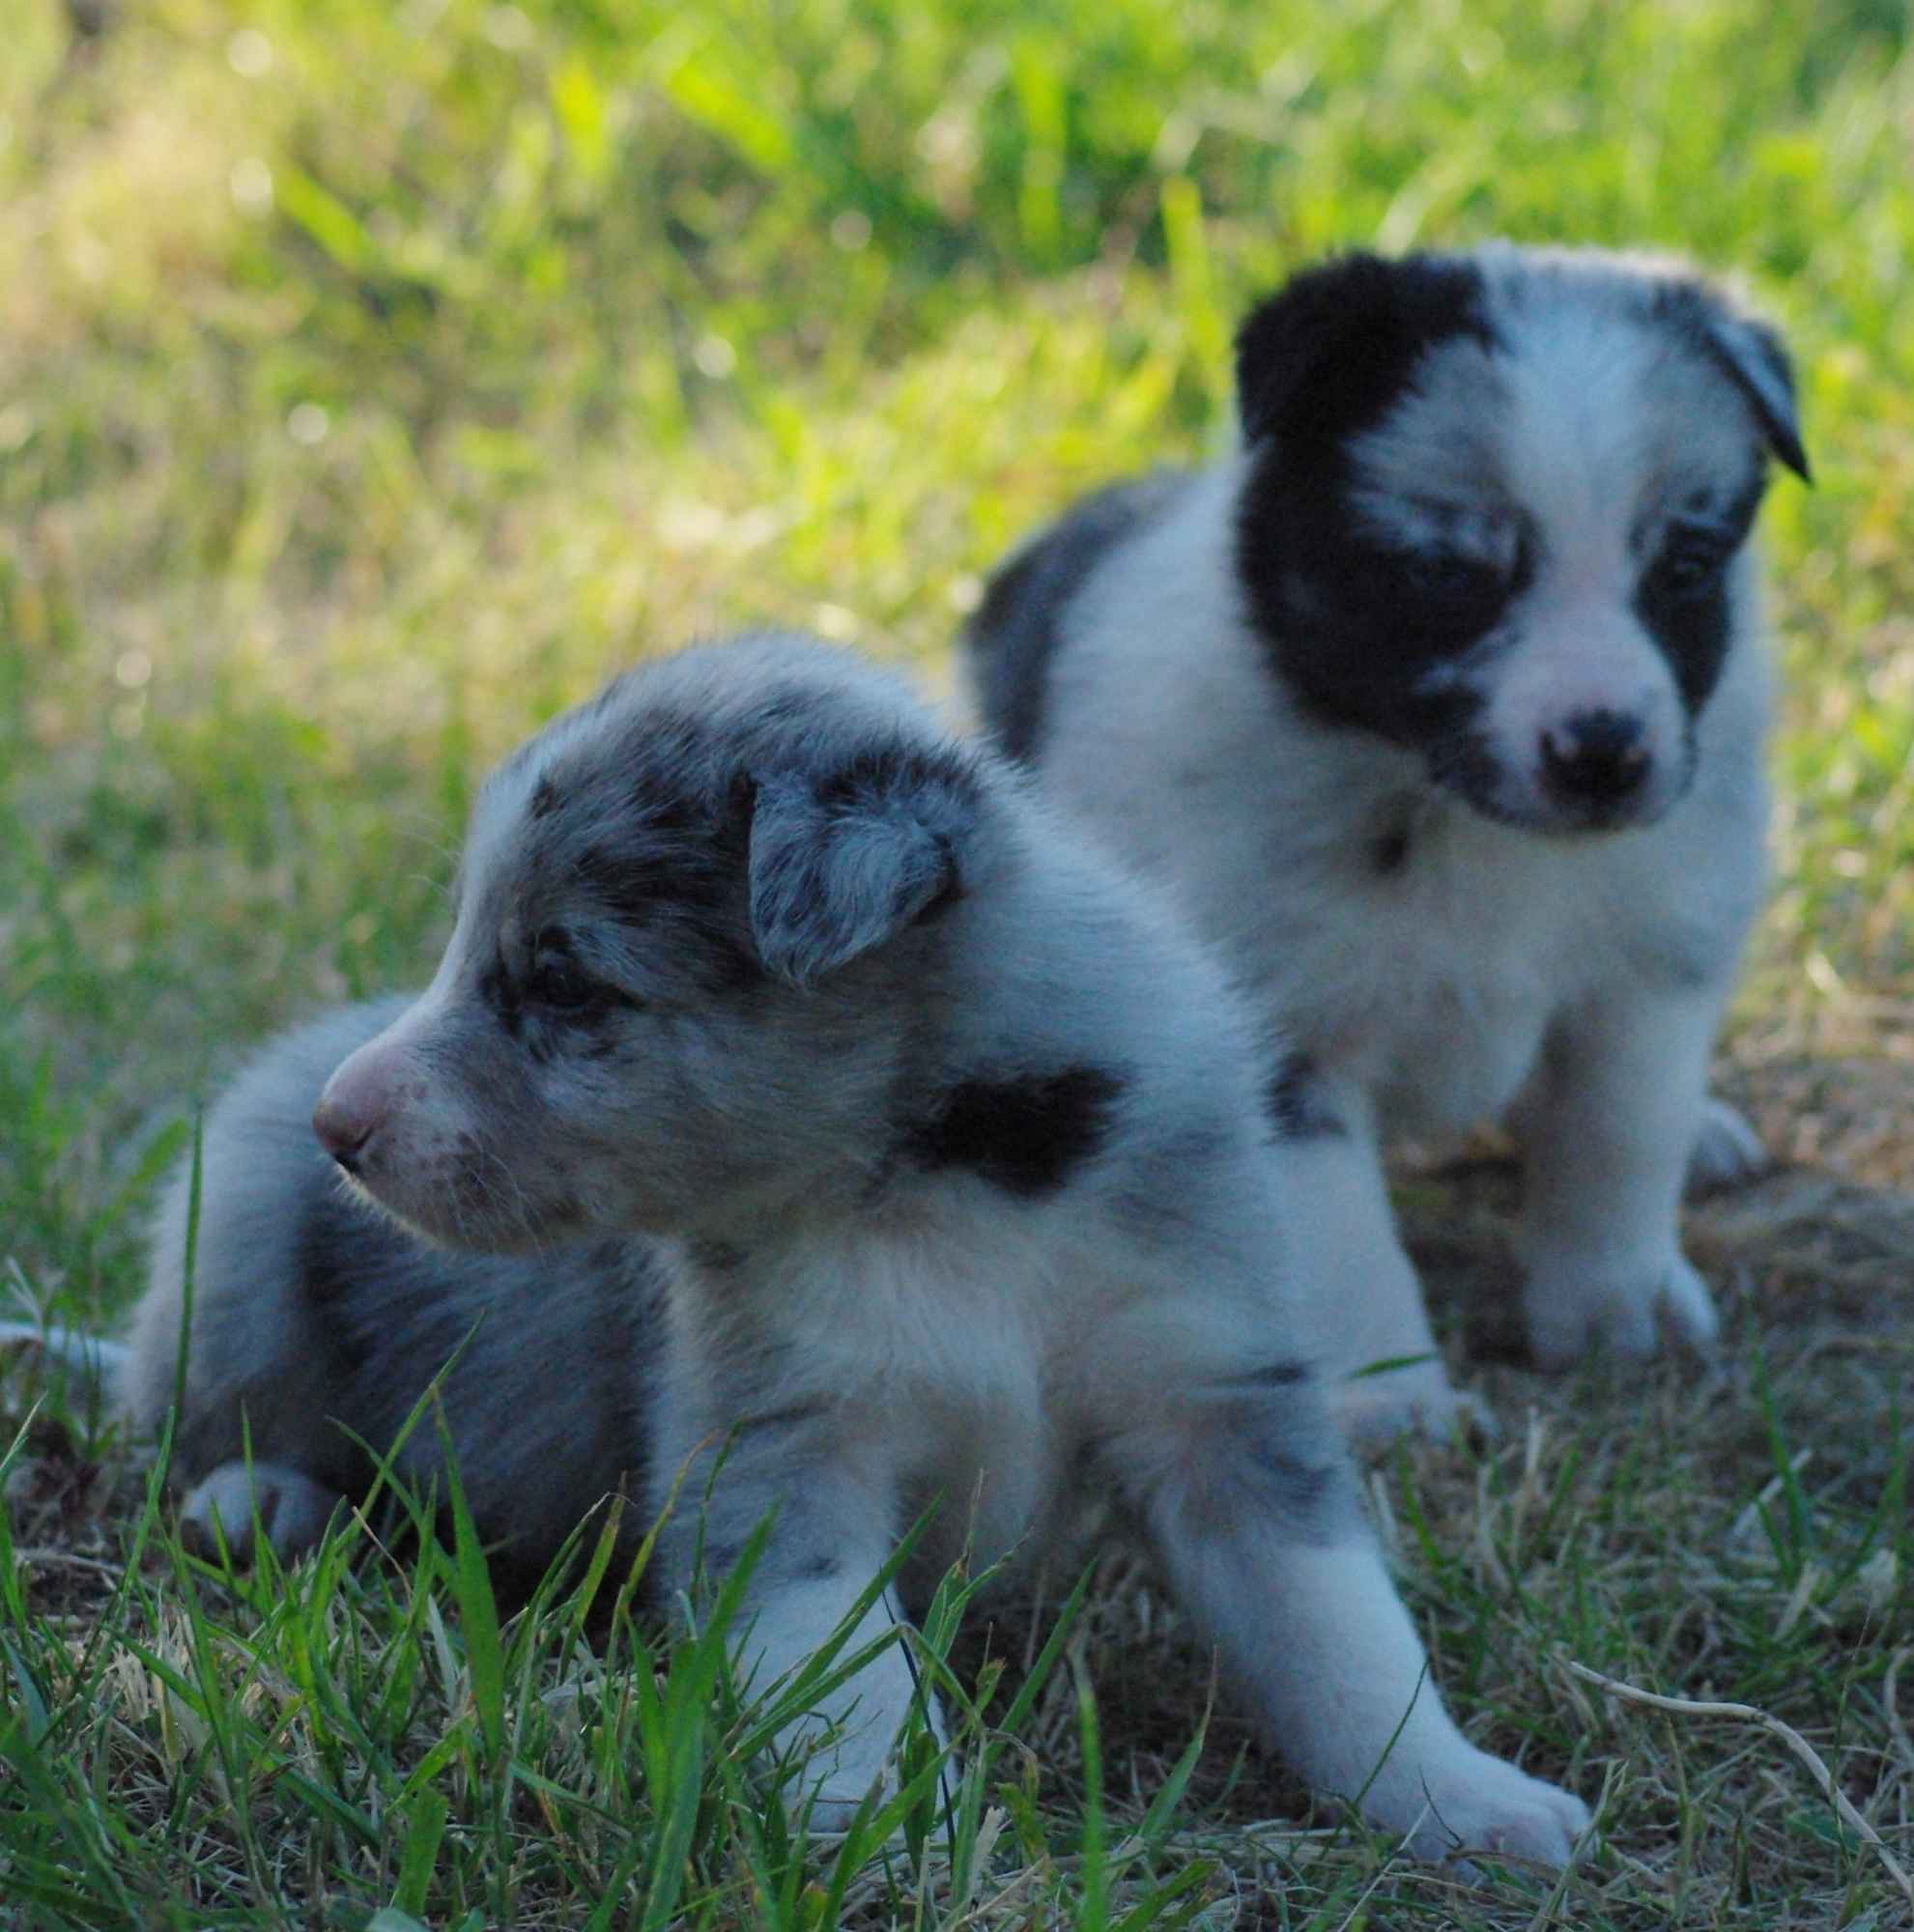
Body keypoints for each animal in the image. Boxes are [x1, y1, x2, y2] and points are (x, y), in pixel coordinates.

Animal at [116, 630, 1585, 1855]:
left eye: (563, 980)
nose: (342, 1125)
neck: (944, 1180)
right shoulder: (779, 1448)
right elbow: (849, 1671)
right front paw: (875, 1823)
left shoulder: (1217, 1392)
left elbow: (1341, 1632)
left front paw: (1465, 1799)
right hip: (228, 1234)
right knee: (193, 1422)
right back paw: (260, 1499)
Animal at [974, 242, 1809, 1445]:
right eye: (1448, 574)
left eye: (1686, 569)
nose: (1602, 752)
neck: (1448, 805)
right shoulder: (1280, 1026)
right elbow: (1336, 1231)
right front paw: (1389, 1397)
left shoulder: (1651, 967)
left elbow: (1619, 1133)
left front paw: (1617, 1307)